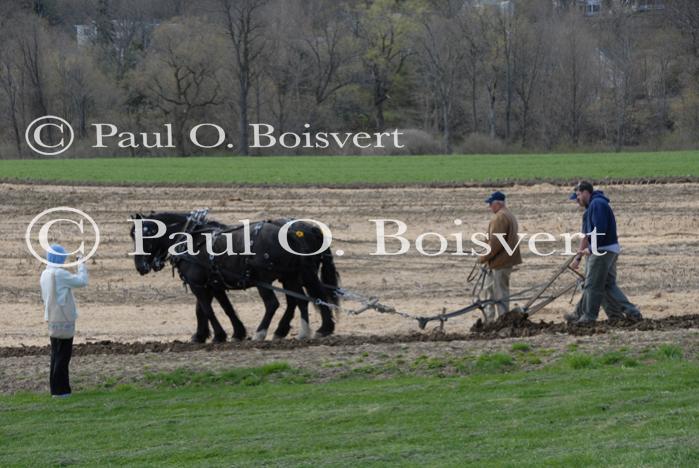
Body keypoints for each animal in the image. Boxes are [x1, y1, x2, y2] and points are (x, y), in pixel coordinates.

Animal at [131, 211, 342, 340]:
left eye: (143, 235)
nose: (140, 266)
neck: (190, 238)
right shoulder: (212, 284)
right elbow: (219, 309)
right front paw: (216, 334)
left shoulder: (197, 284)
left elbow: (207, 309)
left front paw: (218, 335)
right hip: (292, 276)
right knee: (303, 299)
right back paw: (306, 331)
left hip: (268, 278)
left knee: (277, 303)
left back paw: (263, 333)